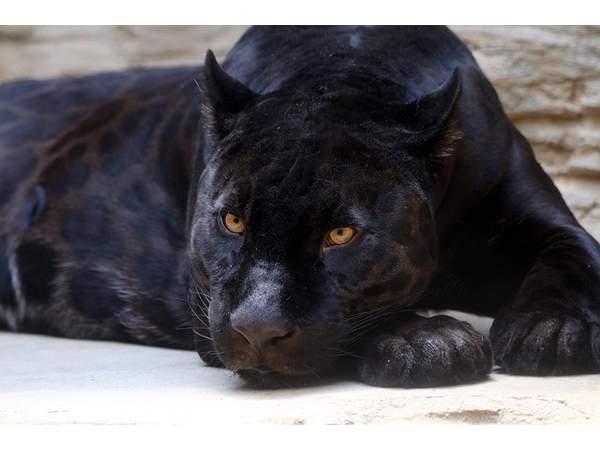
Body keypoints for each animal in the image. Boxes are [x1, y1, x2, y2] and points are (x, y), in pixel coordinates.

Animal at [1, 25, 599, 388]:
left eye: (341, 235)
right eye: (233, 221)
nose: (257, 331)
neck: (346, 70)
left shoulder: (544, 221)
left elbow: (575, 262)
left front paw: (552, 331)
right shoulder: (204, 305)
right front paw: (430, 339)